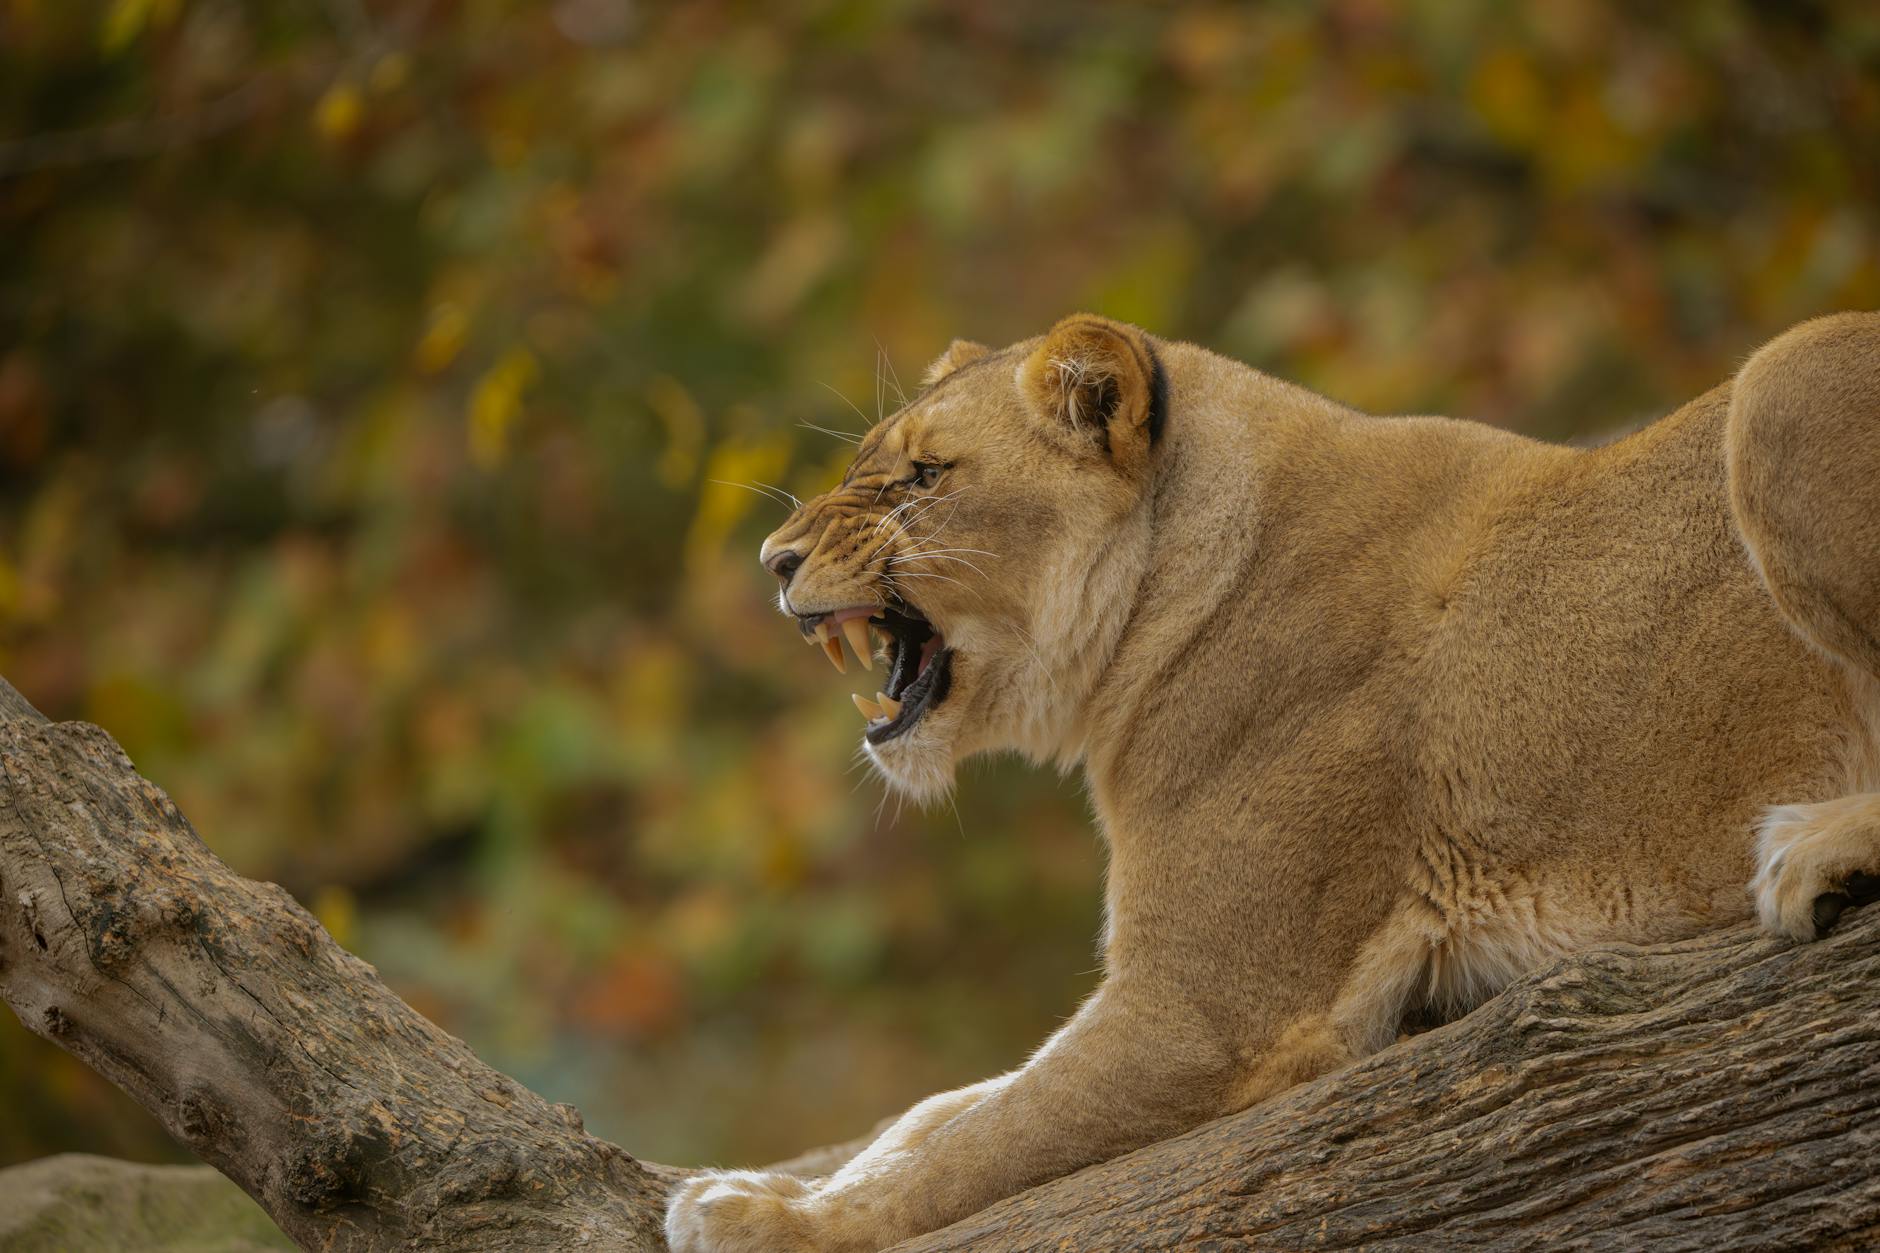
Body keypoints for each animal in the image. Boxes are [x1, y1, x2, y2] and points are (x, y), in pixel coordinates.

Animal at [667, 311, 1880, 1252]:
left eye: (923, 477)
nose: (774, 560)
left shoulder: (1207, 1011)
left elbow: (971, 1145)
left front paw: (771, 1220)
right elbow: (933, 1111)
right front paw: (772, 1183)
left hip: (1781, 379)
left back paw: (1816, 851)